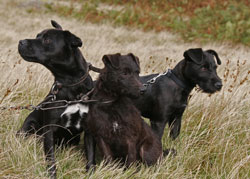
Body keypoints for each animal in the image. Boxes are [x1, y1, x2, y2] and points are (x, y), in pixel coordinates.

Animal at [17, 20, 93, 178]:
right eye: (37, 36)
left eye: (47, 40)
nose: (20, 42)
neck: (70, 83)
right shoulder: (49, 131)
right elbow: (50, 158)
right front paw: (52, 174)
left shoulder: (89, 129)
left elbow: (90, 155)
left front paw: (91, 173)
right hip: (29, 126)